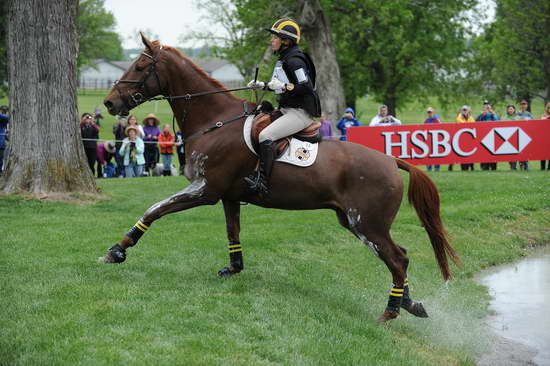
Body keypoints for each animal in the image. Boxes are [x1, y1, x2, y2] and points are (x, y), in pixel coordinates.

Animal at [100, 33, 462, 320]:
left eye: (140, 67)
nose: (109, 103)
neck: (215, 121)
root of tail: (391, 160)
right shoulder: (229, 196)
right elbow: (232, 232)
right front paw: (234, 268)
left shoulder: (205, 190)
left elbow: (155, 209)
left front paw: (117, 250)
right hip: (355, 222)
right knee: (399, 256)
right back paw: (410, 303)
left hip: (367, 224)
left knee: (398, 260)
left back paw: (390, 312)